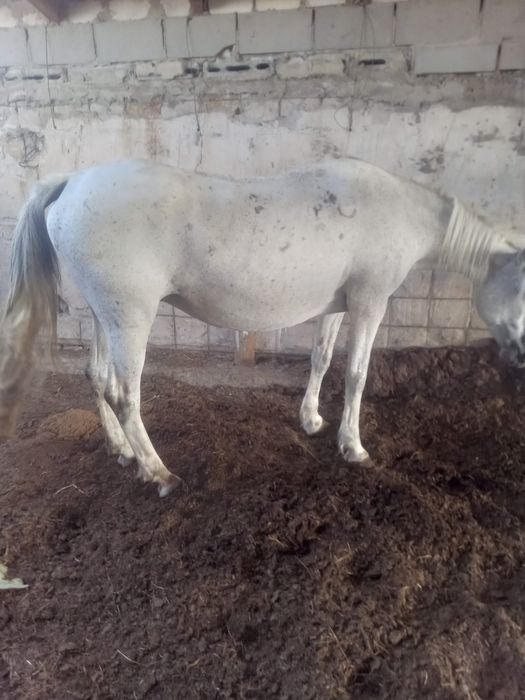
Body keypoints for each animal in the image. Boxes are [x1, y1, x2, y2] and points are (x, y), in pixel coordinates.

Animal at [0, 158, 523, 497]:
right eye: (521, 287)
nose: (519, 353)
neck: (395, 208)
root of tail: (72, 182)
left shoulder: (337, 304)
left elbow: (322, 359)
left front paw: (311, 420)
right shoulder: (370, 302)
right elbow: (357, 375)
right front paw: (353, 446)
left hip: (103, 315)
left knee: (97, 378)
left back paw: (121, 450)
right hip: (130, 318)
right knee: (124, 394)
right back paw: (159, 473)